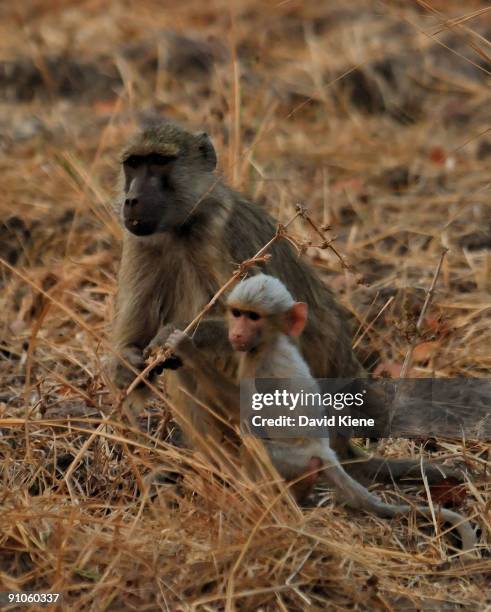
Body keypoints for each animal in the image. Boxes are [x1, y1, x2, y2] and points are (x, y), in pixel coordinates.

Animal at [165, 274, 476, 552]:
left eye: (253, 317)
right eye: (238, 313)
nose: (237, 333)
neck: (271, 342)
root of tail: (324, 451)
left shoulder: (260, 366)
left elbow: (246, 412)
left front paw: (187, 350)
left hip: (295, 456)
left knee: (255, 446)